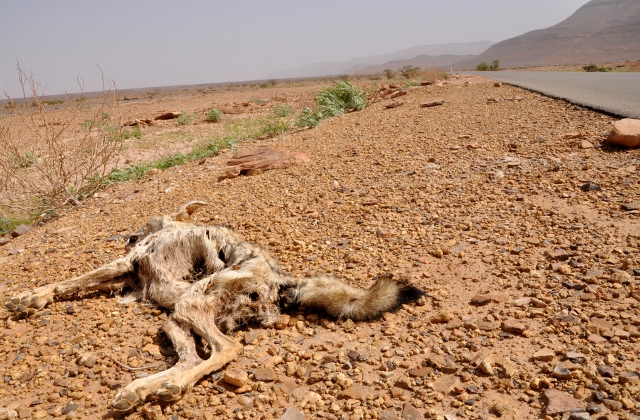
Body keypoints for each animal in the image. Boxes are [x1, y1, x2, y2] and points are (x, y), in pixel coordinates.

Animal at [4, 201, 424, 411]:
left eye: (148, 220)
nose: (129, 236)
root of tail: (281, 280)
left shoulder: (125, 263)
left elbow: (72, 280)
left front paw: (28, 298)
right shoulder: (128, 275)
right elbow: (78, 283)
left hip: (191, 305)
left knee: (226, 348)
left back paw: (165, 388)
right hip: (175, 318)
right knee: (191, 357)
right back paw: (143, 391)